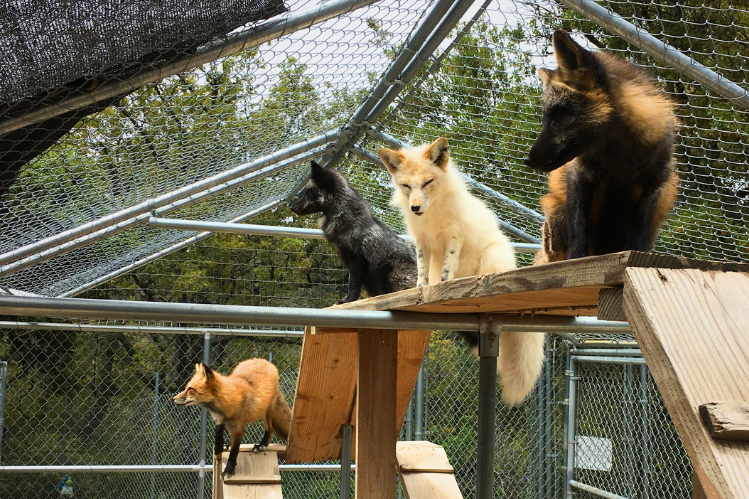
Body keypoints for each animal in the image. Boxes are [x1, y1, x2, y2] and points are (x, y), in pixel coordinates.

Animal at [524, 29, 676, 264]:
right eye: (546, 118)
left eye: (560, 114)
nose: (528, 160)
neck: (618, 163)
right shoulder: (579, 176)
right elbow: (578, 232)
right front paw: (575, 261)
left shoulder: (655, 183)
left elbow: (636, 239)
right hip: (554, 212)